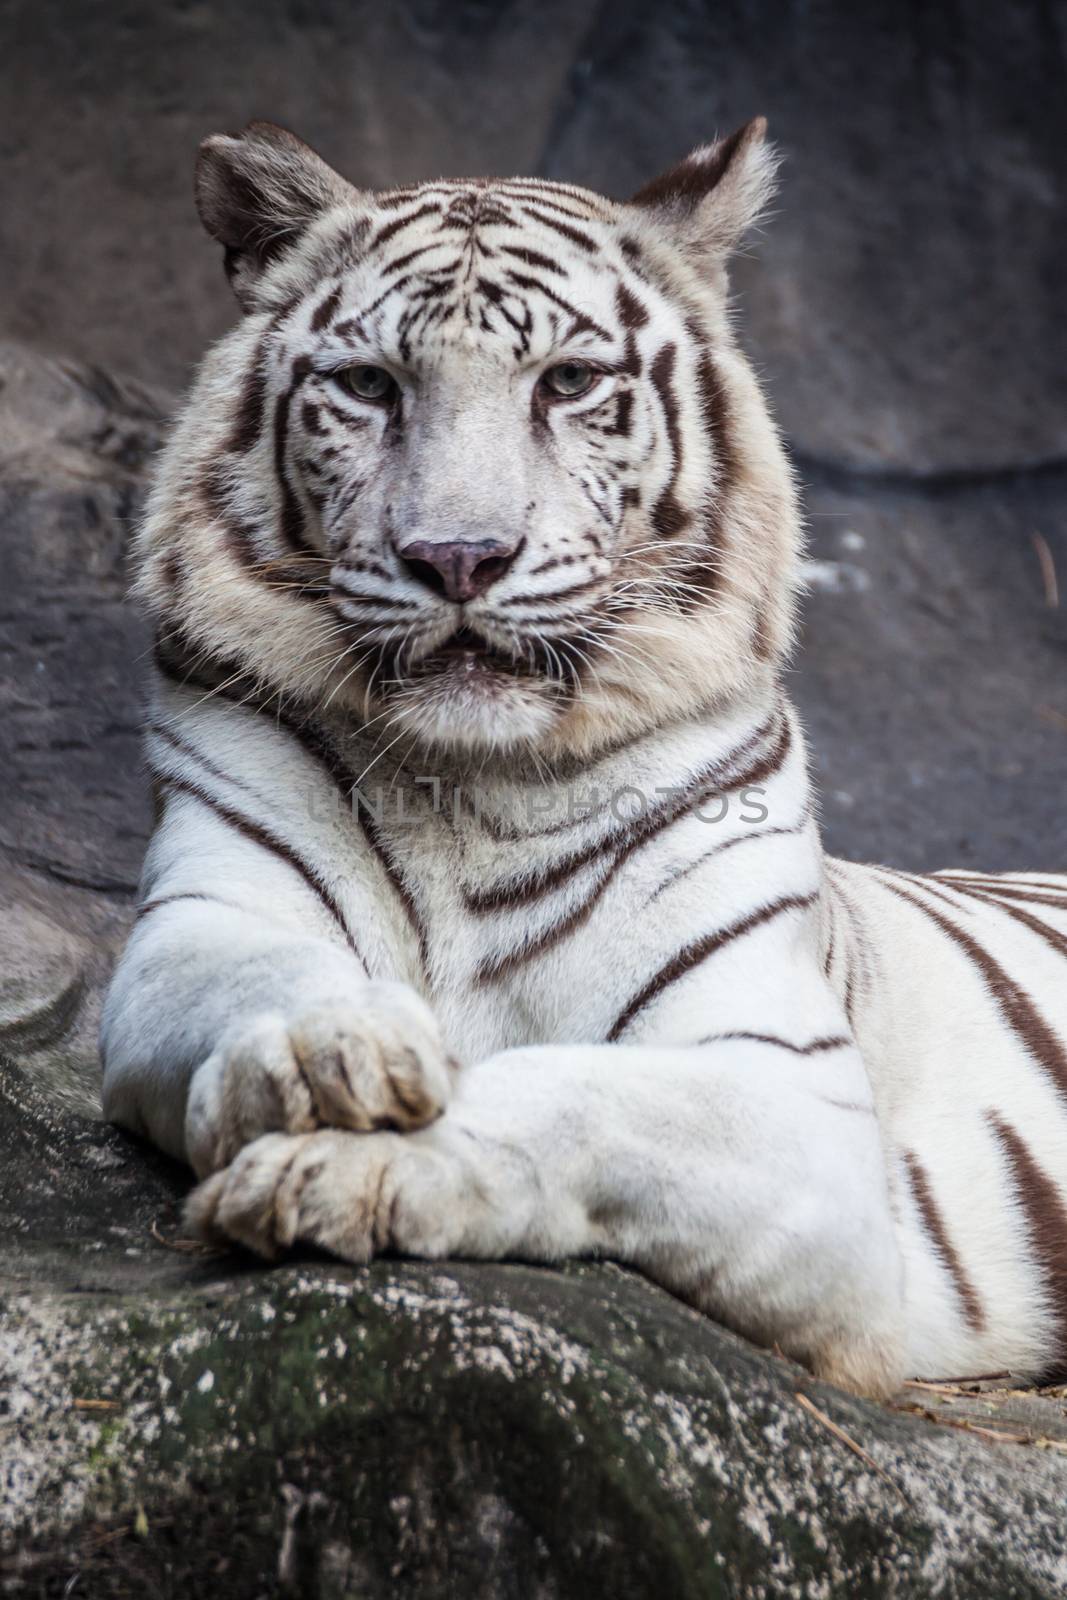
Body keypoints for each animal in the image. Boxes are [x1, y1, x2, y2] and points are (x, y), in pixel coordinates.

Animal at [99, 118, 1067, 1395]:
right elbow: (260, 975)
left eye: (565, 382)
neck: (464, 785)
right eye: (368, 385)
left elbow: (574, 1098)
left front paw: (349, 1168)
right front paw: (330, 1057)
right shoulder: (196, 920)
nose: (457, 558)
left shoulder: (791, 1096)